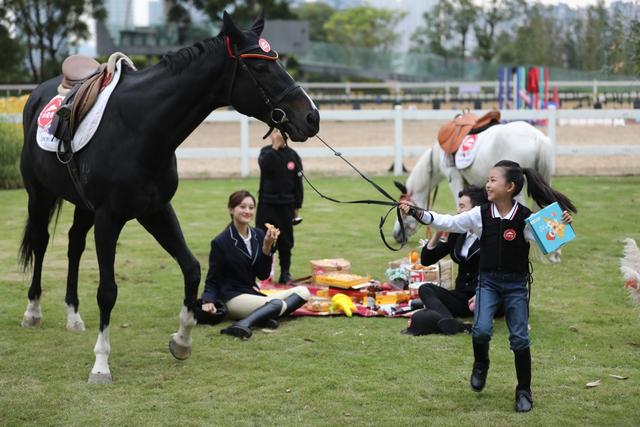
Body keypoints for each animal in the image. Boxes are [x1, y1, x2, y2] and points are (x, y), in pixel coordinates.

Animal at [18, 10, 318, 384]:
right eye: (260, 68)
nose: (312, 116)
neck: (139, 126)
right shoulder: (109, 218)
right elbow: (108, 291)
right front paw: (101, 363)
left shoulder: (156, 211)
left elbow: (191, 269)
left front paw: (182, 340)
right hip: (39, 194)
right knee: (42, 242)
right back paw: (32, 310)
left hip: (82, 204)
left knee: (74, 244)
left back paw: (73, 315)